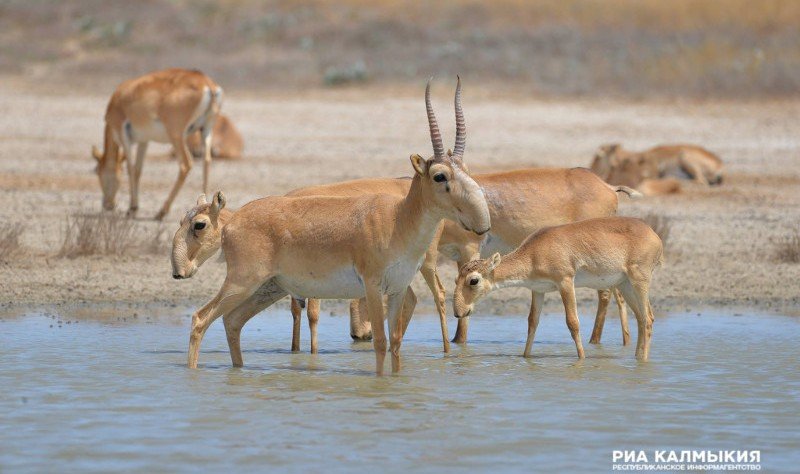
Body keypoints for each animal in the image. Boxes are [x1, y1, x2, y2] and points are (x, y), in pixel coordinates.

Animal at [94, 67, 222, 219]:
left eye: (97, 171)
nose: (107, 204)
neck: (120, 97)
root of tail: (206, 83)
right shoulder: (144, 141)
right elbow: (137, 170)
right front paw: (134, 208)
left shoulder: (123, 136)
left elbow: (130, 169)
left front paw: (131, 208)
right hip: (205, 131)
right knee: (206, 161)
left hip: (176, 136)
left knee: (186, 165)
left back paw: (161, 212)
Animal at [185, 78, 490, 374]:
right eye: (440, 176)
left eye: (465, 169)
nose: (482, 222)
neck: (397, 220)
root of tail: (232, 223)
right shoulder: (372, 287)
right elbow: (380, 342)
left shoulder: (397, 290)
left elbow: (396, 343)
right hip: (242, 283)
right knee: (201, 318)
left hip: (268, 289)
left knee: (232, 321)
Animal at [454, 217, 664, 362]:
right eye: (456, 278)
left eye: (473, 280)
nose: (458, 312)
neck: (534, 253)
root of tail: (654, 235)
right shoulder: (538, 290)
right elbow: (532, 322)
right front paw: (525, 357)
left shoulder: (565, 282)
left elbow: (573, 322)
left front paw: (582, 359)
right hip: (625, 285)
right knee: (641, 318)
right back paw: (637, 357)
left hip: (639, 281)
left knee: (648, 318)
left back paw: (644, 361)